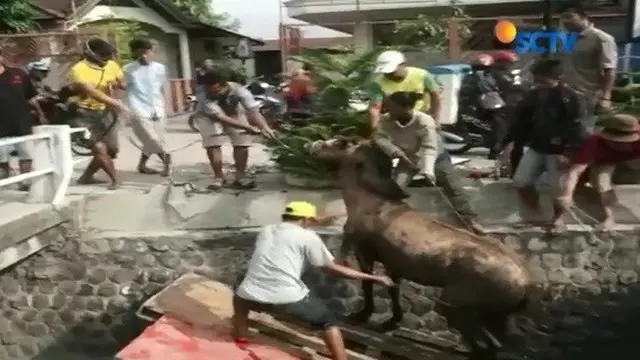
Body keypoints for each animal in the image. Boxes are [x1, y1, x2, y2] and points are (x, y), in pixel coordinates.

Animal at [308, 137, 536, 360]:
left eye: (341, 143)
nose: (314, 145)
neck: (368, 201)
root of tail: (525, 283)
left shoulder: (364, 253)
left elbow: (367, 284)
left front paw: (361, 315)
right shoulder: (393, 265)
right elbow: (393, 290)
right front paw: (391, 322)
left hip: (455, 307)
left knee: (487, 346)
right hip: (497, 316)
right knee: (497, 345)